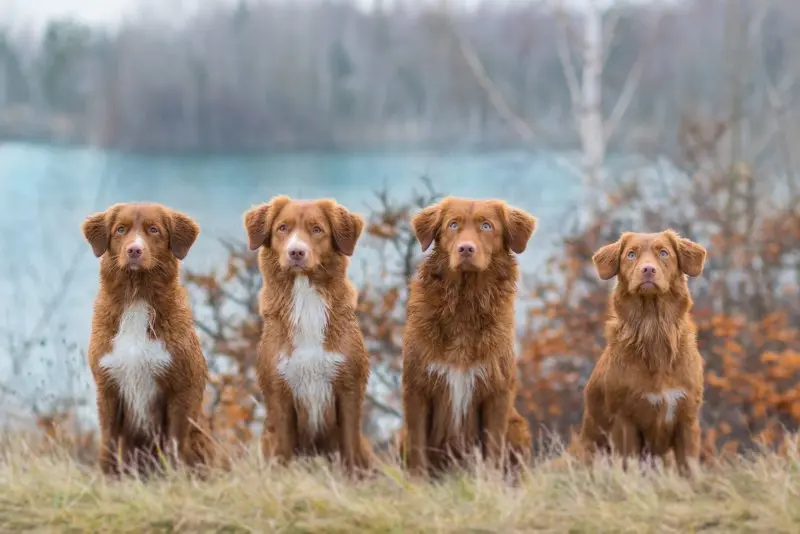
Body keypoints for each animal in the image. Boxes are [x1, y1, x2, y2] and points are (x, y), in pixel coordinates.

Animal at [81, 202, 214, 478]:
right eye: (120, 229)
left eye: (154, 230)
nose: (134, 250)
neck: (137, 297)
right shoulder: (108, 386)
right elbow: (108, 442)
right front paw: (106, 478)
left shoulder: (181, 388)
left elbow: (175, 444)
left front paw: (175, 478)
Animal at [244, 196, 376, 474]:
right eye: (282, 228)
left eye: (317, 229)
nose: (296, 252)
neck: (305, 297)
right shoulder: (279, 391)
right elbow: (283, 450)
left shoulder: (349, 387)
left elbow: (349, 448)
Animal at [400, 197, 536, 478]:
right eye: (453, 225)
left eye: (486, 226)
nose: (465, 248)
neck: (464, 302)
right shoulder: (416, 388)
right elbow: (418, 449)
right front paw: (417, 484)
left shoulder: (497, 392)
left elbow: (493, 450)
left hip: (518, 426)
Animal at [576, 230, 708, 478]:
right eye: (631, 254)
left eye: (664, 253)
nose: (648, 269)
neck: (652, 329)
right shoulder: (624, 421)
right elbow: (629, 466)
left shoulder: (687, 418)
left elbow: (689, 467)